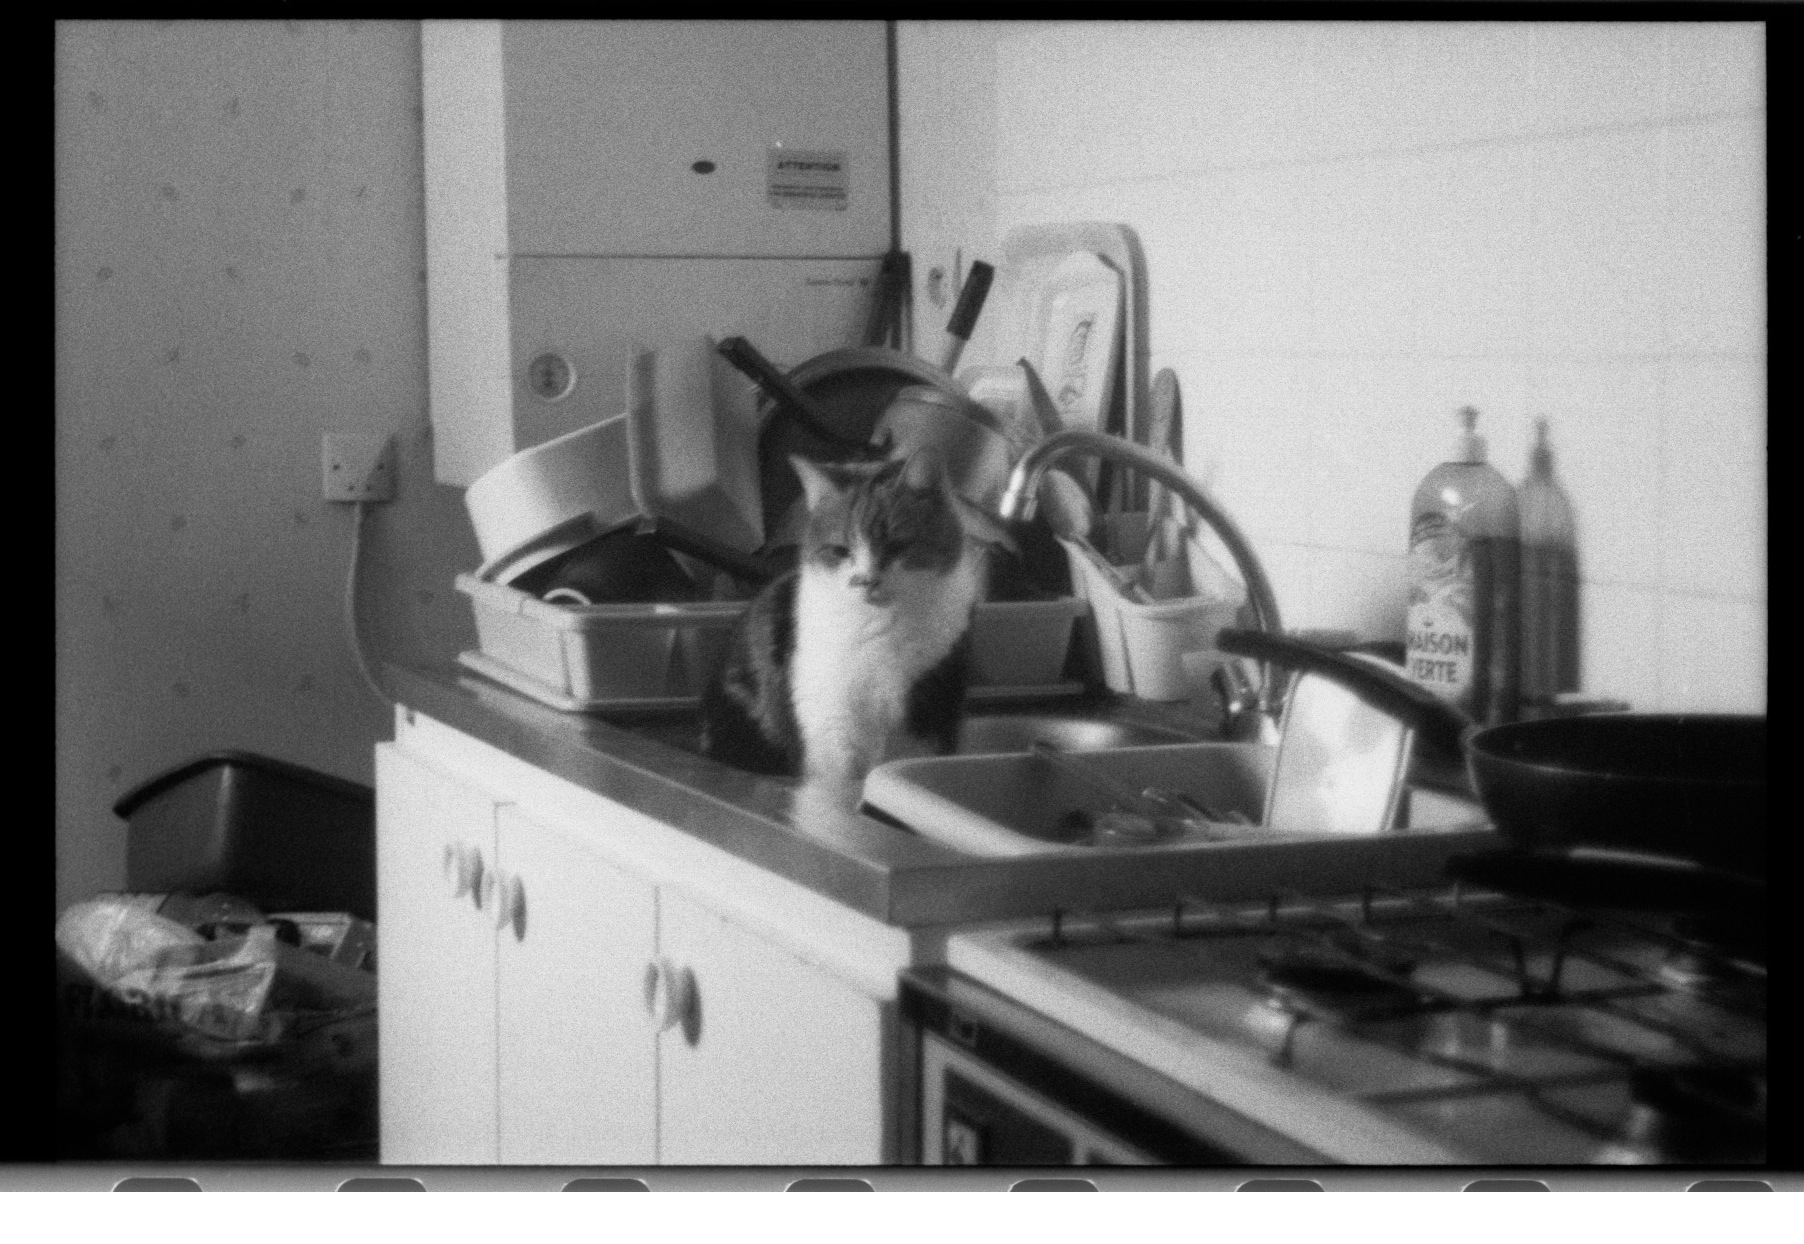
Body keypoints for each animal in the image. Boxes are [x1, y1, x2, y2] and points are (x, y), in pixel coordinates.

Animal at [700, 450, 1015, 812]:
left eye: (895, 545)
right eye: (840, 550)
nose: (865, 579)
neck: (882, 627)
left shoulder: (929, 711)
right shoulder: (829, 720)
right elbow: (838, 774)